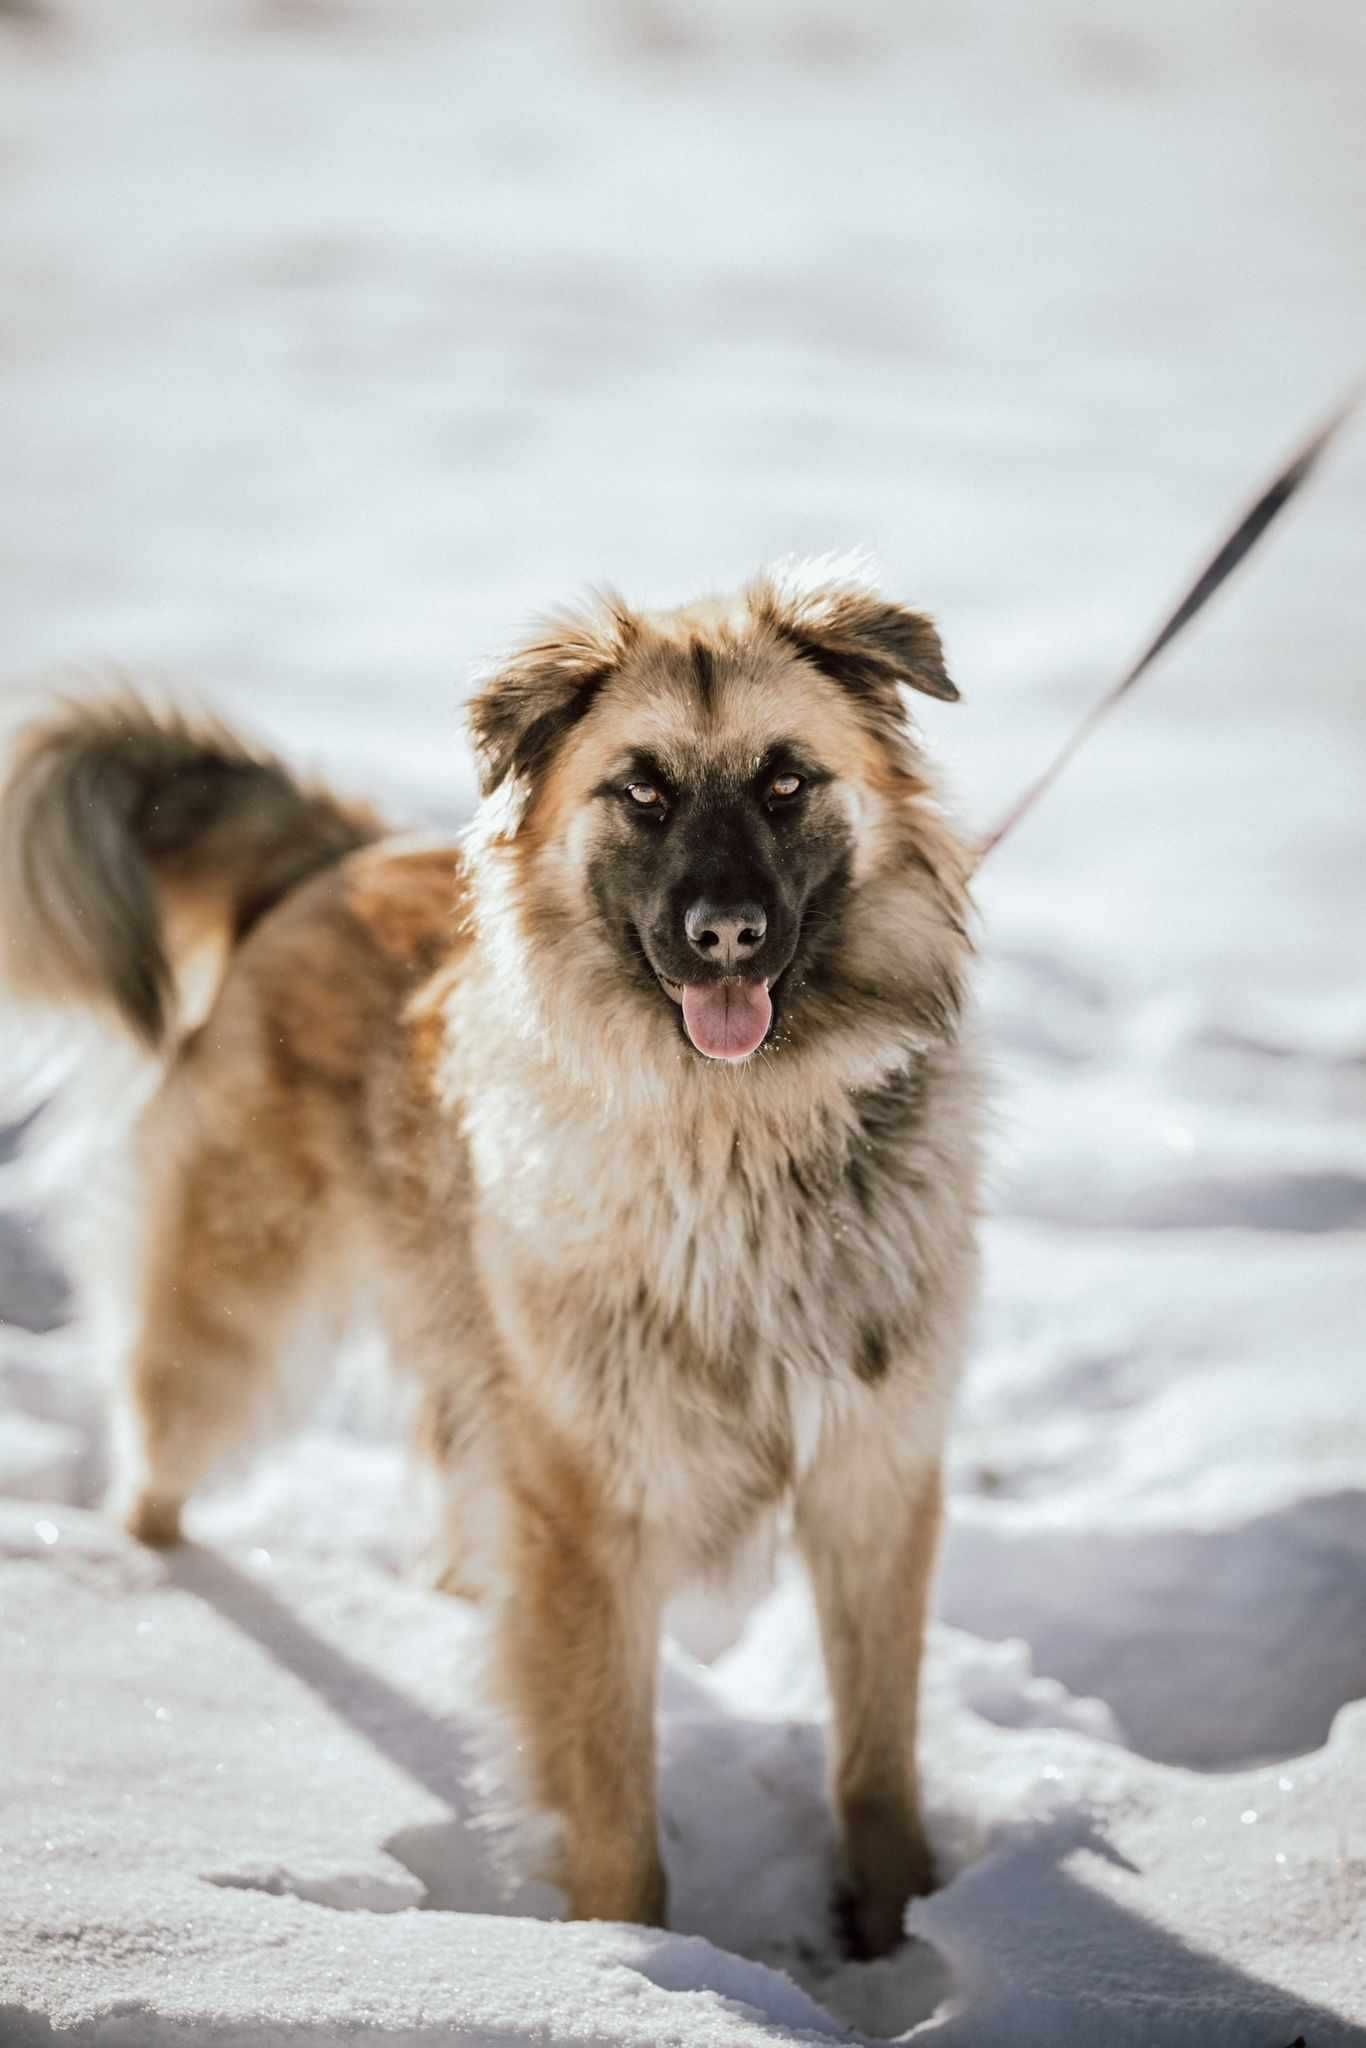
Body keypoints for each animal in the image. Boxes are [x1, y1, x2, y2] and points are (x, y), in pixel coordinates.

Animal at [0, 557, 983, 1949]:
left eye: (787, 780)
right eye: (642, 788)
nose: (727, 934)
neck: (741, 1139)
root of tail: (336, 852)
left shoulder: (872, 1479)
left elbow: (876, 1761)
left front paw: (893, 1937)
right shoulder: (588, 1514)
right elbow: (613, 1807)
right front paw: (635, 1958)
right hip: (229, 1328)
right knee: (159, 1465)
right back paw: (136, 1587)